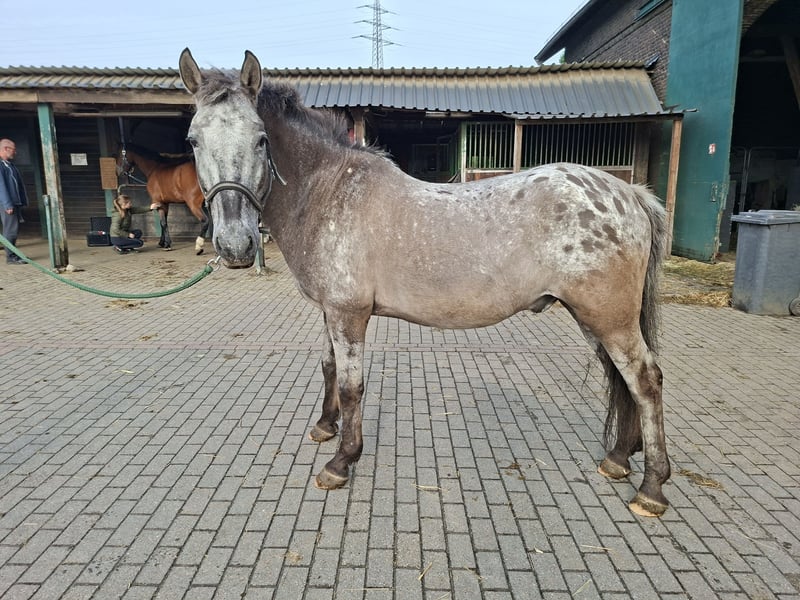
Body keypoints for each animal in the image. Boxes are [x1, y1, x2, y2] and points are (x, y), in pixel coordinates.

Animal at [178, 48, 672, 517]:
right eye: (193, 140)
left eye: (261, 139)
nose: (235, 245)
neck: (330, 193)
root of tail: (629, 193)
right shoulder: (329, 311)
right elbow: (329, 367)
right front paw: (324, 427)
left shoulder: (348, 315)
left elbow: (352, 386)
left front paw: (341, 461)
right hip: (595, 318)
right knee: (622, 379)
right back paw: (618, 459)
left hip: (610, 318)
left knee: (645, 380)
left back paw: (651, 488)